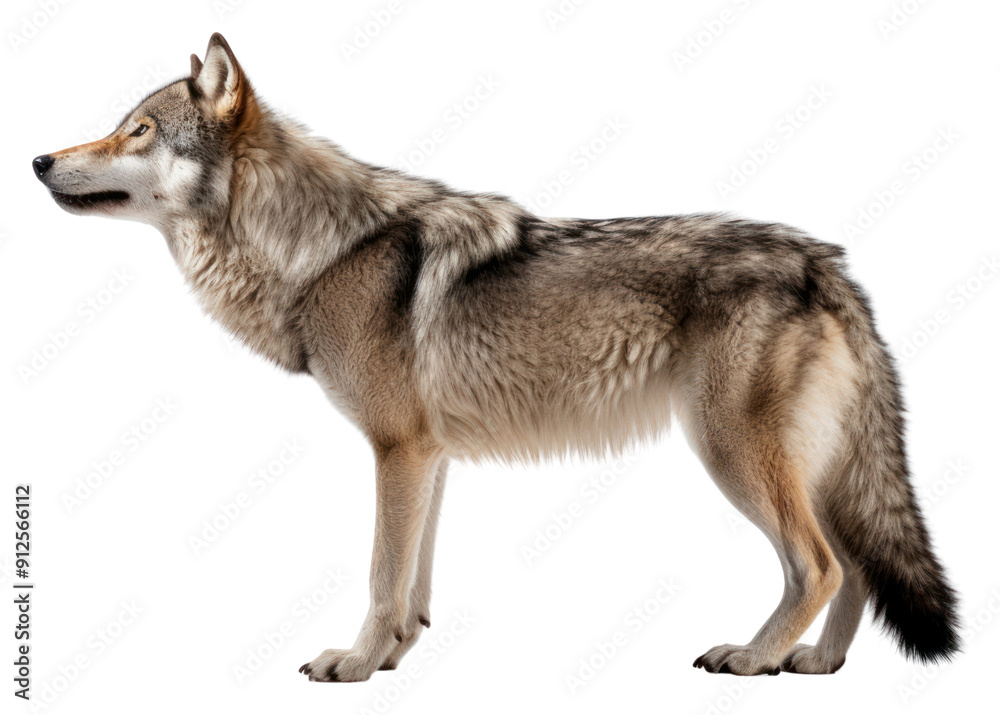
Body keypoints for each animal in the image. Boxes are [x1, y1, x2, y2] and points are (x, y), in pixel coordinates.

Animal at [33, 34, 959, 680]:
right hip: (807, 462)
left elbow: (381, 573)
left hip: (733, 454)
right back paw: (819, 663)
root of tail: (827, 263)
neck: (318, 250)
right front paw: (393, 657)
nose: (38, 158)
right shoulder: (427, 453)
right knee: (858, 565)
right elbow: (414, 585)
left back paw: (756, 657)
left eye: (137, 130)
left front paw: (354, 664)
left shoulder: (397, 448)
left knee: (821, 565)